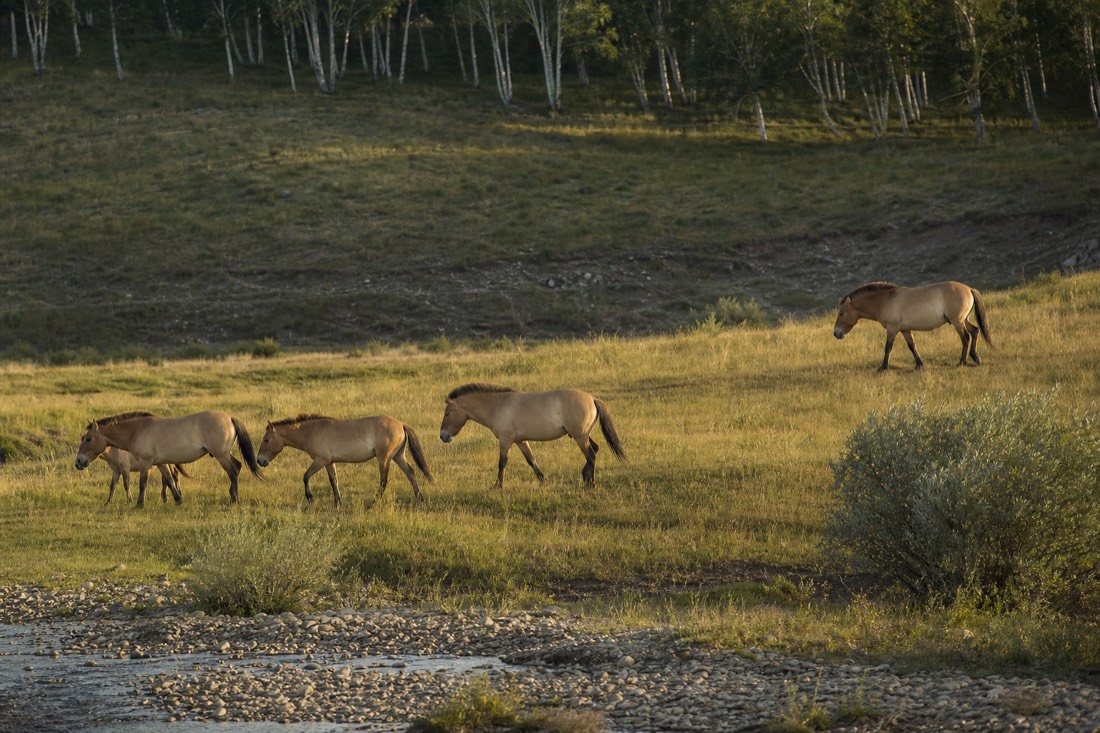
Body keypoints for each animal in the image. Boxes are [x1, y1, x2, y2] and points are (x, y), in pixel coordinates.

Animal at [75, 410, 262, 507]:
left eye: (88, 439)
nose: (78, 462)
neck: (136, 430)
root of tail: (229, 417)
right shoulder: (161, 464)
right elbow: (170, 481)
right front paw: (178, 500)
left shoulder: (145, 463)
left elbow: (143, 484)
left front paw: (139, 504)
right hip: (223, 454)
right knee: (237, 466)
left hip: (221, 455)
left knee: (233, 471)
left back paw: (234, 499)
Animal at [256, 414, 432, 507]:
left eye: (266, 440)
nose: (259, 460)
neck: (312, 431)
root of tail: (401, 424)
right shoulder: (329, 462)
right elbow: (334, 480)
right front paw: (338, 502)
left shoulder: (320, 460)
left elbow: (305, 476)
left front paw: (311, 497)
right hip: (398, 456)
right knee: (411, 473)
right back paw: (420, 499)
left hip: (384, 459)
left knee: (383, 481)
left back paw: (372, 504)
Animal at [439, 383, 627, 490]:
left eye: (447, 413)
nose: (443, 436)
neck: (498, 405)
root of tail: (593, 398)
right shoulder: (521, 441)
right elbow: (531, 460)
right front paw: (543, 480)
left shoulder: (506, 440)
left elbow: (502, 463)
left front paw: (497, 486)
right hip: (581, 435)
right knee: (594, 450)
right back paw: (585, 478)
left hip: (580, 436)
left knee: (591, 455)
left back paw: (591, 484)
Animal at [833, 281, 993, 371]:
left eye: (841, 314)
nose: (836, 333)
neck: (885, 299)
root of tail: (969, 289)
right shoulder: (905, 330)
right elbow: (912, 346)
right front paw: (919, 365)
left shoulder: (892, 328)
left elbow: (888, 347)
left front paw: (883, 367)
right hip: (963, 320)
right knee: (975, 331)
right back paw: (975, 357)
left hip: (957, 321)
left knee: (965, 337)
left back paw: (962, 362)